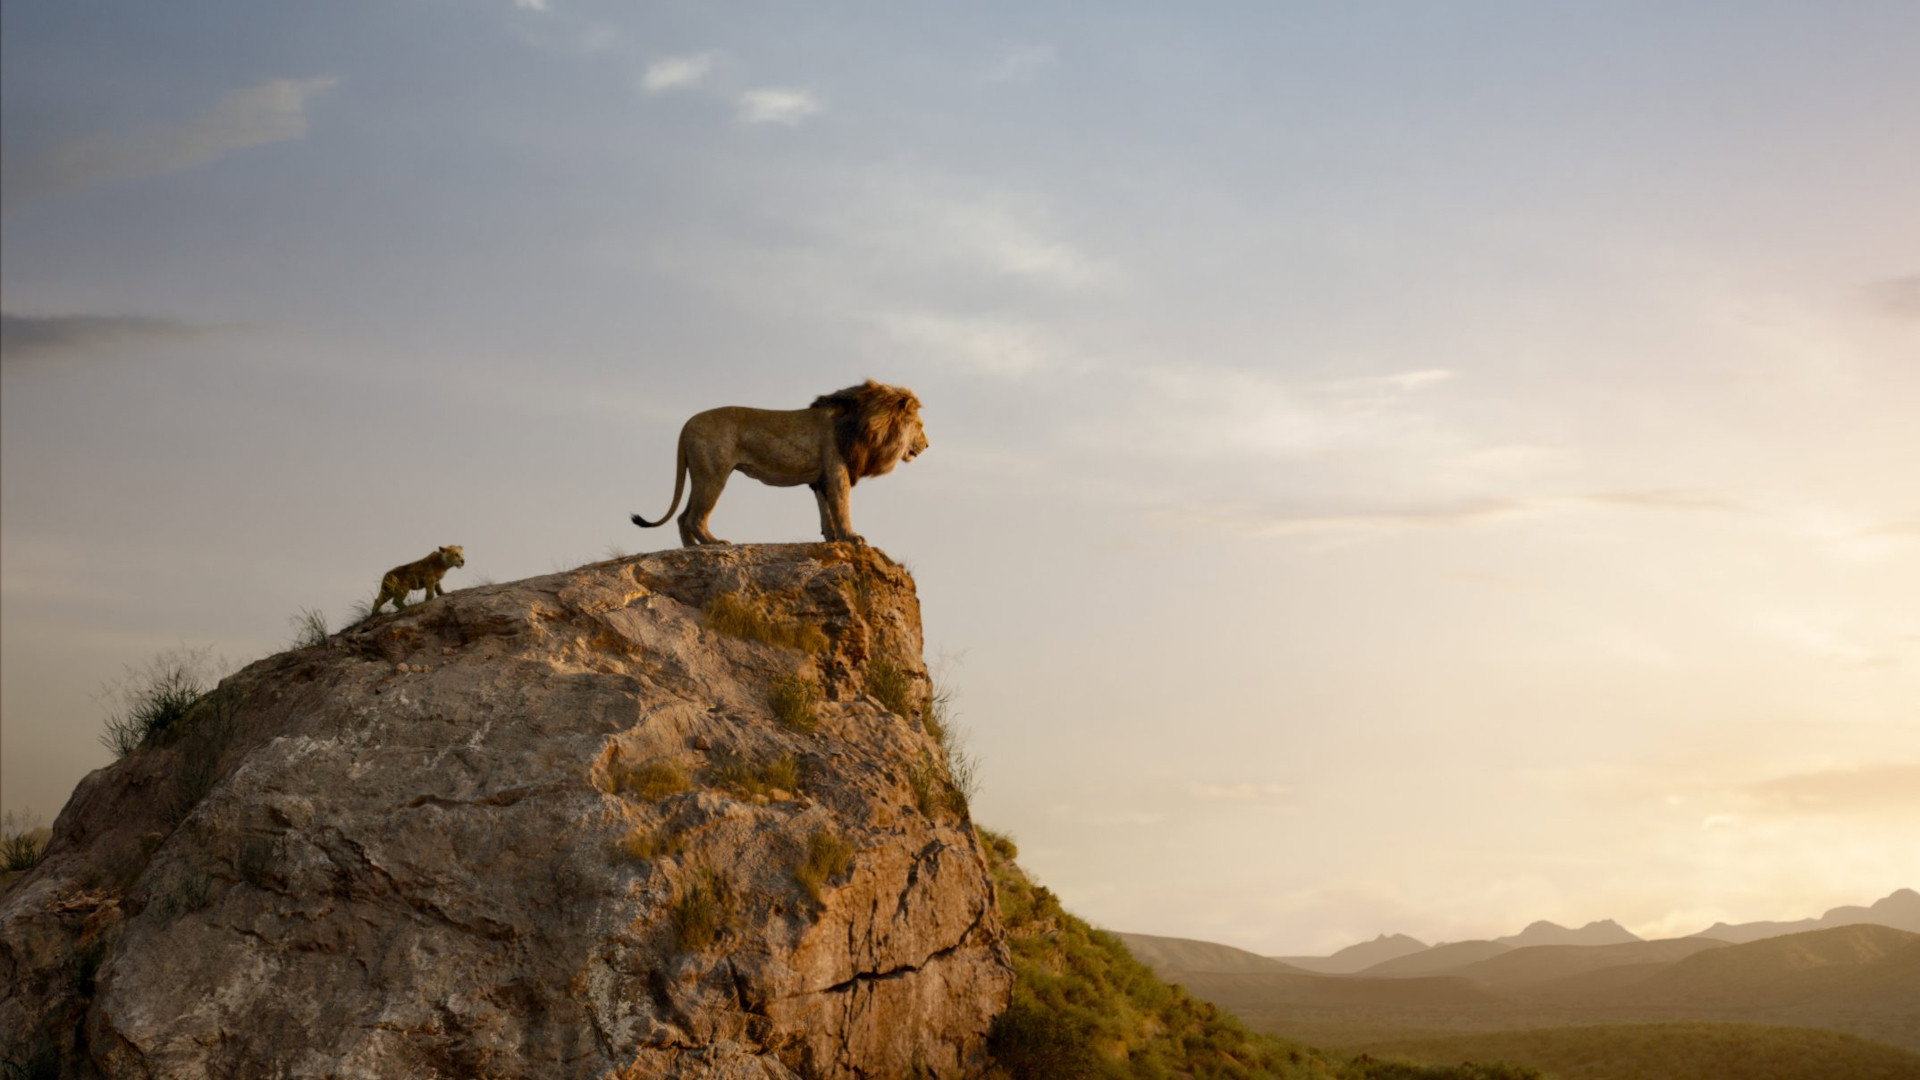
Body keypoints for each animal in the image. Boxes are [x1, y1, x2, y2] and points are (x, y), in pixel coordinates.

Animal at [631, 380, 928, 547]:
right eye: (920, 425)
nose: (927, 445)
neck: (864, 423)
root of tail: (686, 425)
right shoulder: (837, 471)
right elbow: (842, 508)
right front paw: (852, 537)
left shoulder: (821, 478)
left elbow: (826, 511)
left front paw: (832, 539)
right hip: (714, 475)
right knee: (694, 518)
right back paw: (714, 544)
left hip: (700, 474)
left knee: (683, 517)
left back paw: (692, 549)